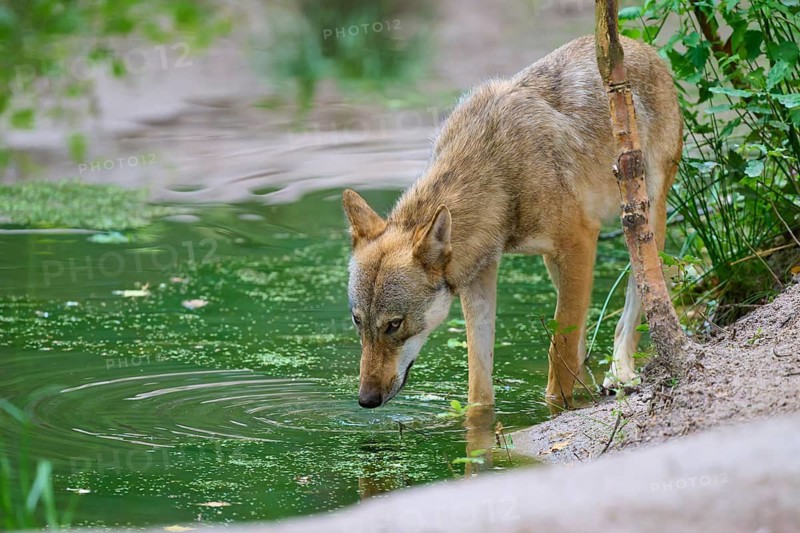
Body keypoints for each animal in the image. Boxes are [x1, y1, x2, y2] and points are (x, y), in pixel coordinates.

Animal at [343, 36, 682, 409]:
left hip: (642, 224)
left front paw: (556, 407)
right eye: (358, 321)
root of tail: (640, 46)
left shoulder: (580, 242)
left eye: (393, 324)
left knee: (637, 301)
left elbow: (558, 352)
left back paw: (621, 372)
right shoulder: (479, 276)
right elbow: (479, 380)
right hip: (555, 264)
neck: (500, 175)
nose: (366, 400)